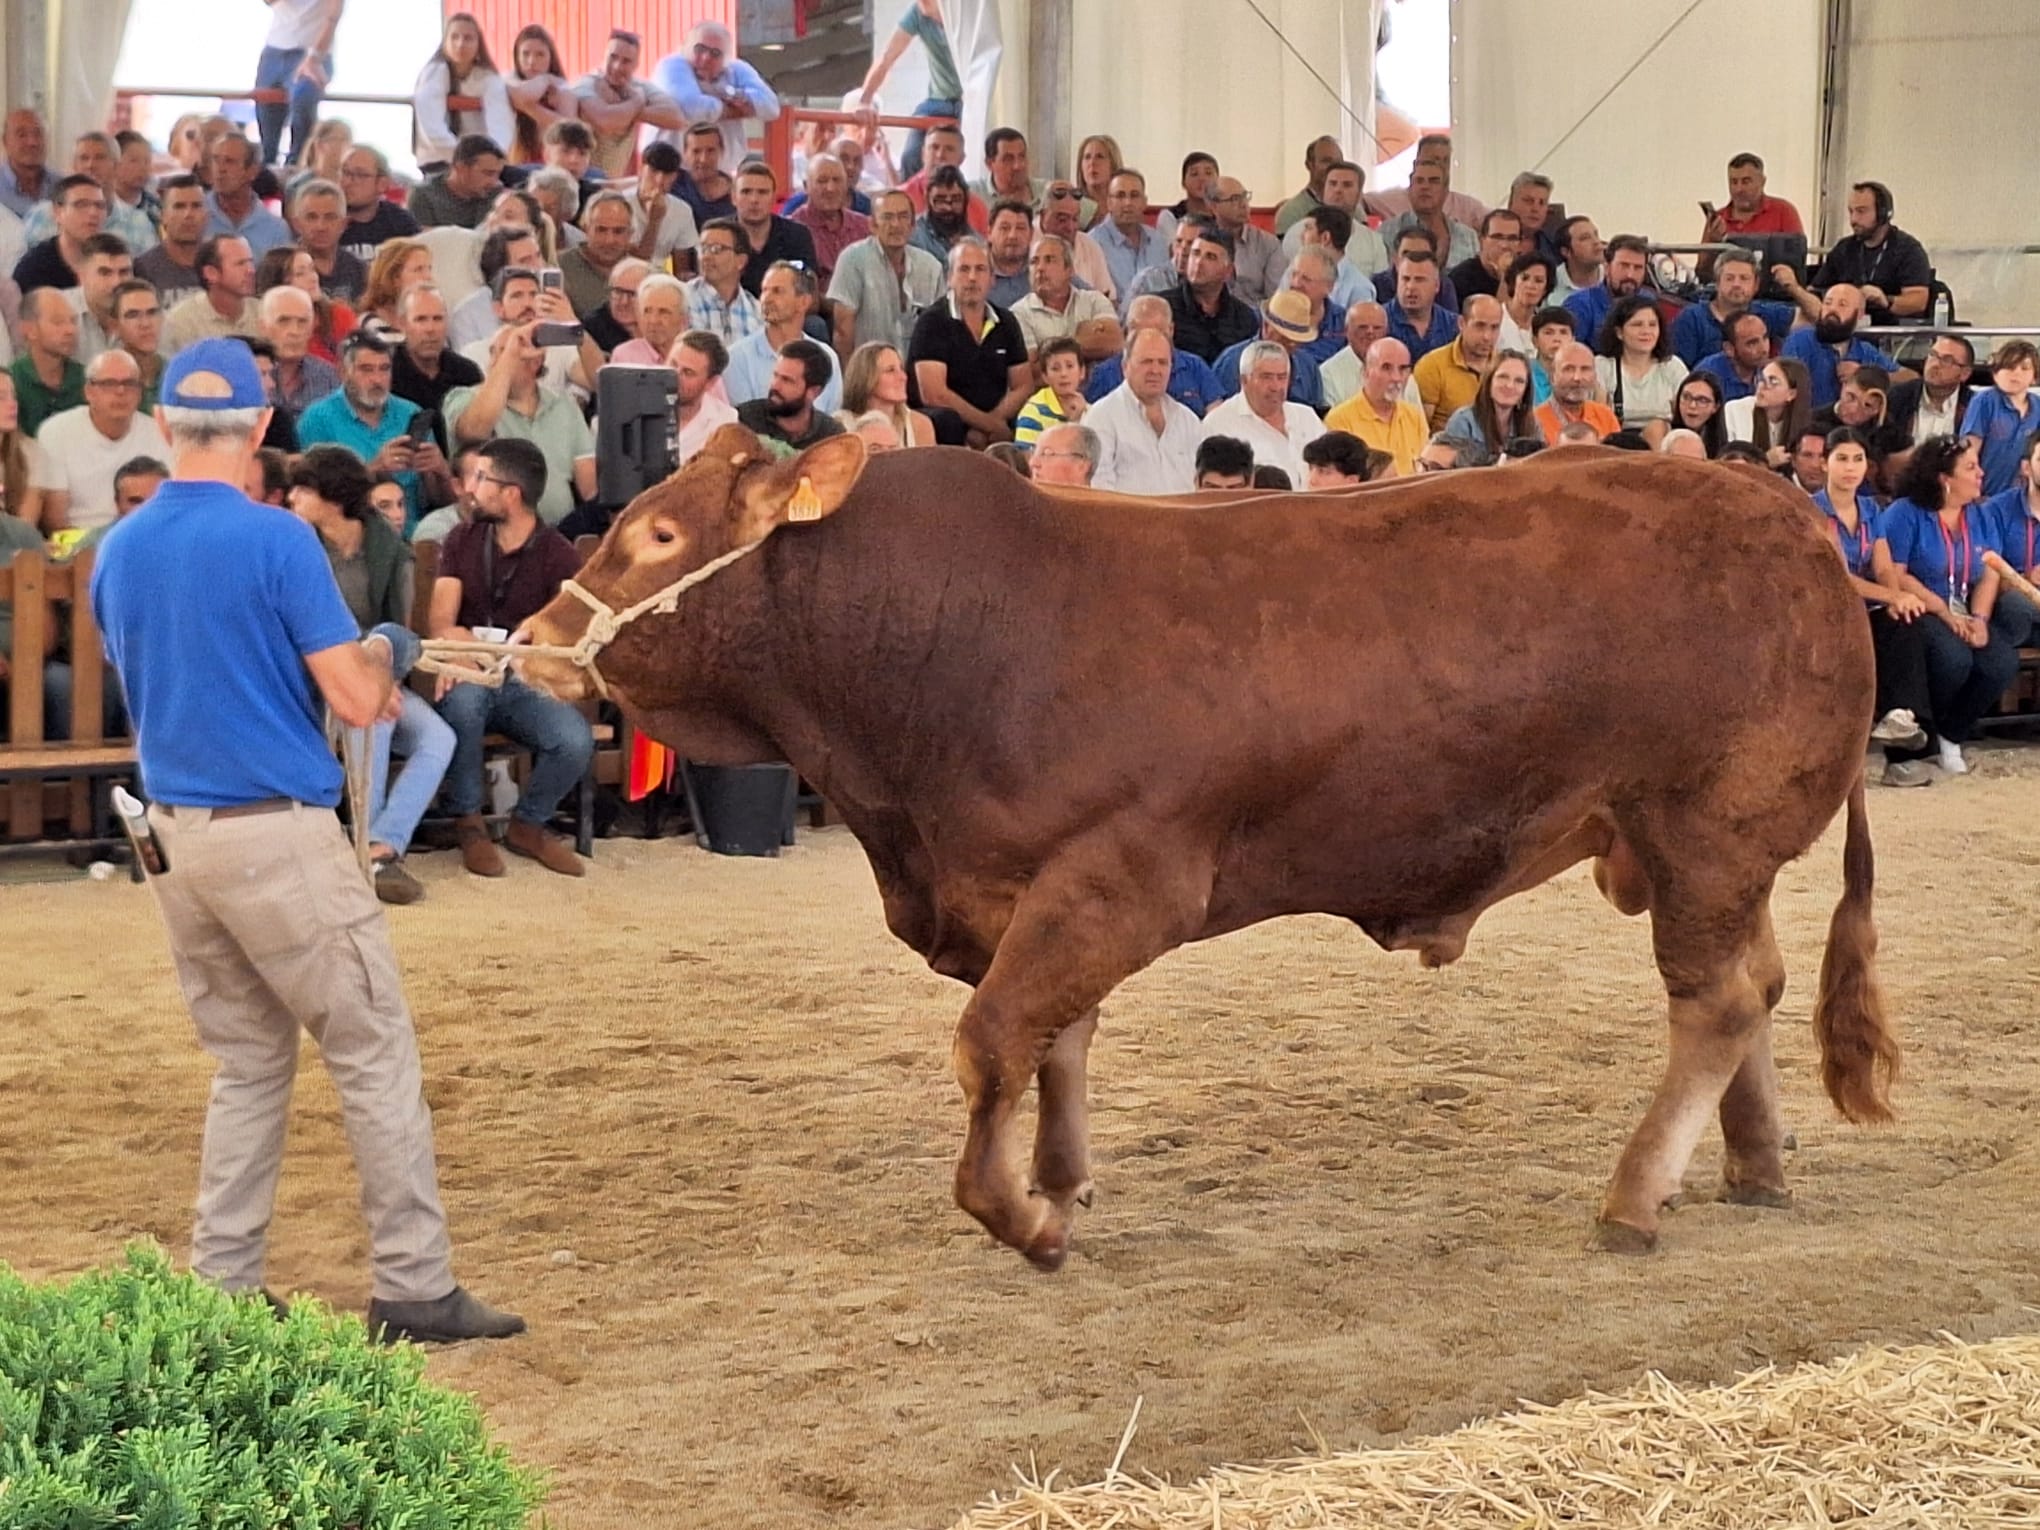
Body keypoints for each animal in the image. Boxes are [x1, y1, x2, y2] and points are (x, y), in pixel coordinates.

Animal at [510, 428, 1893, 1272]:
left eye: (657, 540)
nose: (531, 639)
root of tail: (1789, 513)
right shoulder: (1029, 889)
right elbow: (1055, 1044)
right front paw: (1061, 1182)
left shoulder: (1121, 877)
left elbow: (993, 1043)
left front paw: (1022, 1219)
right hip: (1698, 850)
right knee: (1758, 987)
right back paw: (1751, 1163)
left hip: (1705, 825)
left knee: (1715, 1002)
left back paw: (1634, 1197)